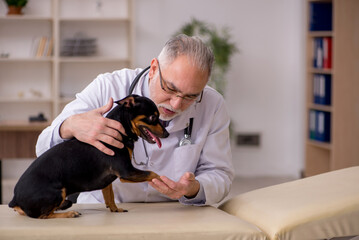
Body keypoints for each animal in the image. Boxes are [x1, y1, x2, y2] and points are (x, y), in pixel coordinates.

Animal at [9, 94, 169, 218]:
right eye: (153, 117)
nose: (167, 134)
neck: (121, 130)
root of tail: (15, 199)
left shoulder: (109, 178)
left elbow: (109, 195)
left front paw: (115, 209)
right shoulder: (127, 172)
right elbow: (153, 174)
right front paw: (167, 182)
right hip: (58, 192)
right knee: (43, 215)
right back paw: (69, 213)